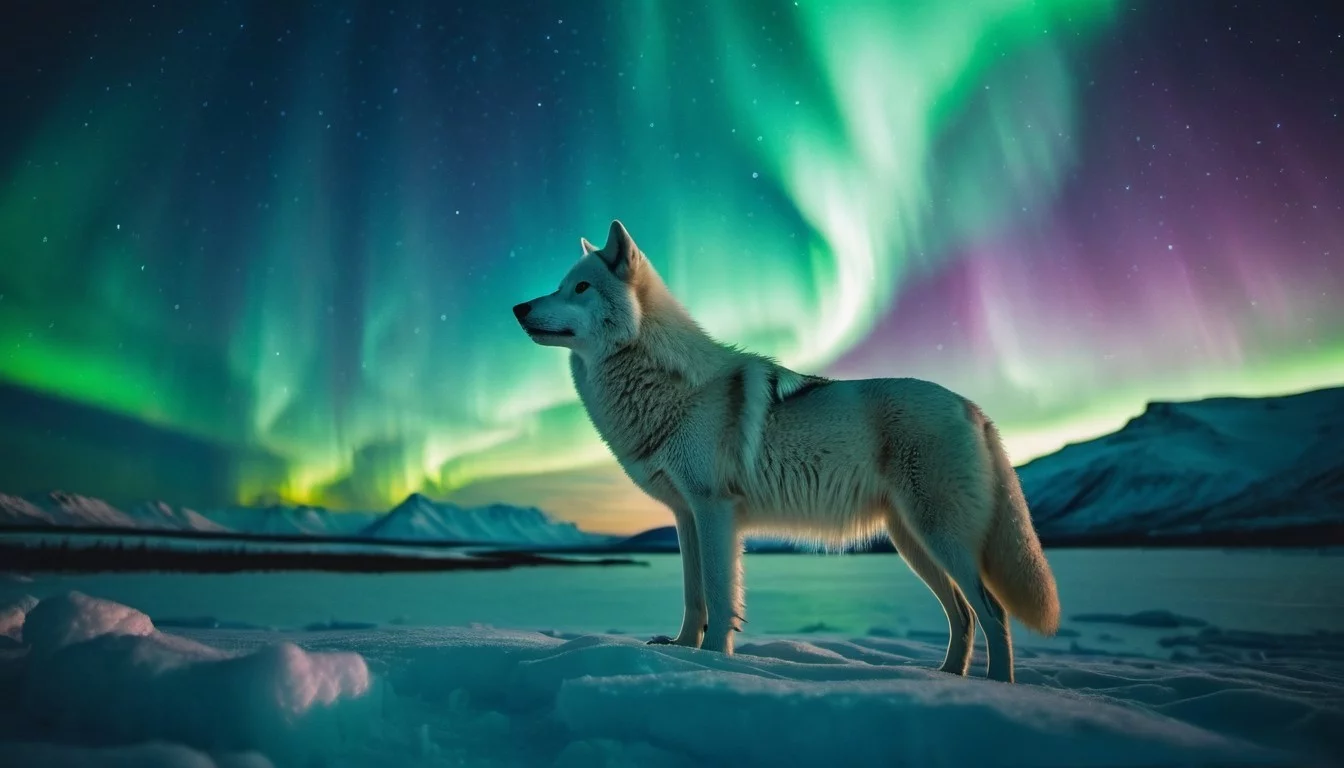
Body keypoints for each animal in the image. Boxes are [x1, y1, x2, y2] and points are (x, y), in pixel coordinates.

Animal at [512, 220, 1060, 682]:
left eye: (580, 288)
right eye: (561, 285)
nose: (518, 308)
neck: (667, 384)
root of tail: (974, 409)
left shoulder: (714, 511)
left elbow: (718, 596)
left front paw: (713, 661)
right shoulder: (686, 517)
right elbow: (693, 596)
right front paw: (682, 650)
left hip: (941, 538)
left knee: (993, 612)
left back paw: (997, 686)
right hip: (912, 542)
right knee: (963, 615)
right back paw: (947, 679)